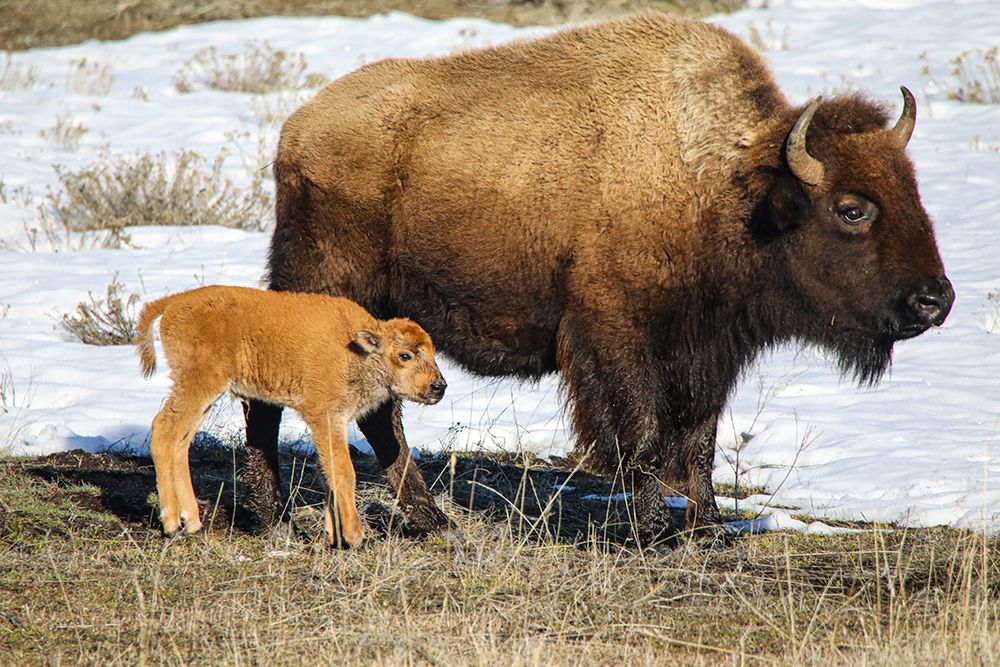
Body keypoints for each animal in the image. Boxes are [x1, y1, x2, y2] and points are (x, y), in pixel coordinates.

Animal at [241, 13, 953, 542]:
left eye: (913, 189)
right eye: (852, 208)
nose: (935, 299)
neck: (724, 184)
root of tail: (295, 133)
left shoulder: (708, 352)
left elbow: (698, 438)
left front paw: (706, 528)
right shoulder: (617, 340)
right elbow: (642, 439)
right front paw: (652, 531)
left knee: (379, 413)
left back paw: (430, 521)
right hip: (326, 286)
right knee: (278, 397)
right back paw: (277, 518)